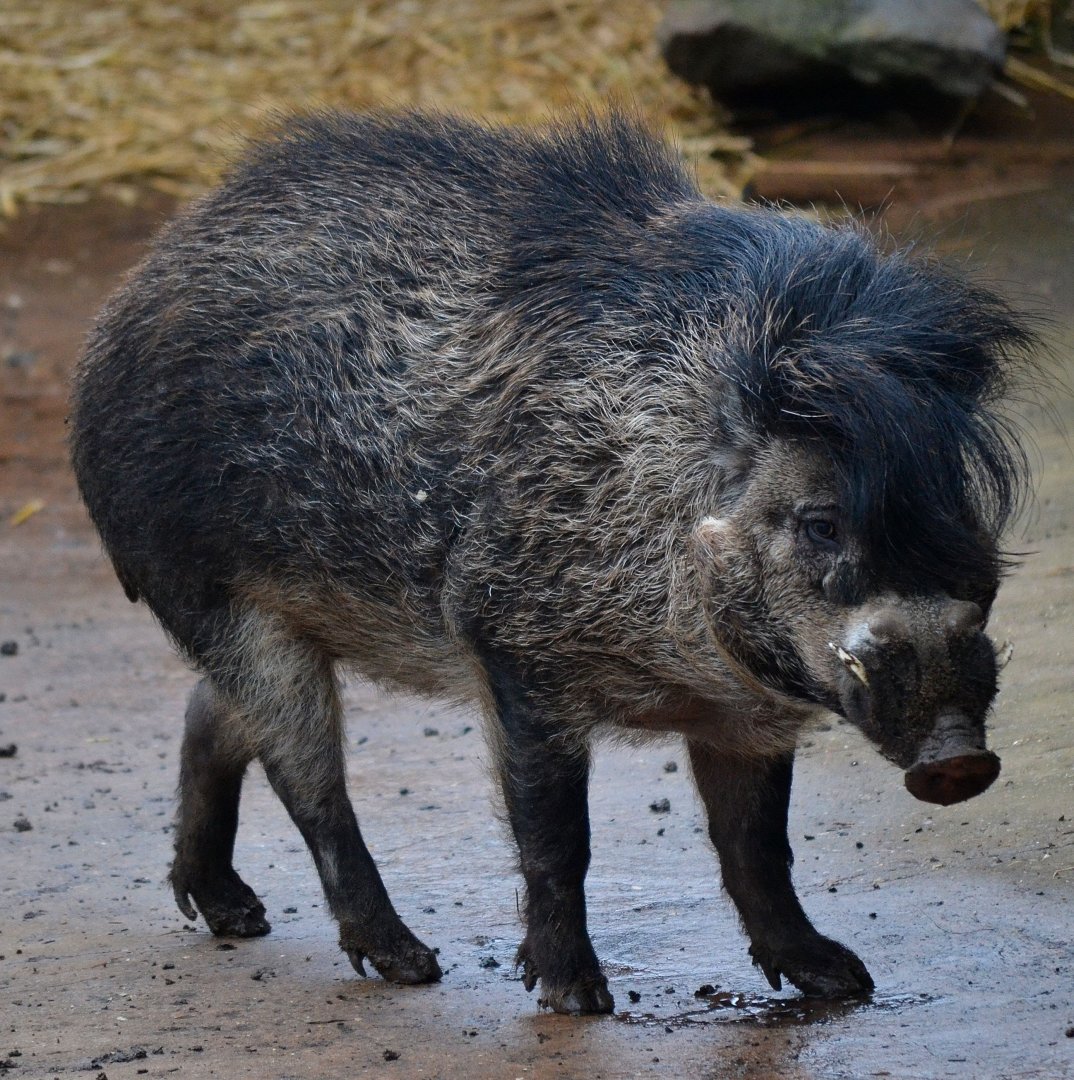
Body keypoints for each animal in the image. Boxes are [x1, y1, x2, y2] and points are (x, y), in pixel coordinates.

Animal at [69, 109, 1034, 1015]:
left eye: (952, 505)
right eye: (822, 522)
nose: (959, 758)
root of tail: (139, 290)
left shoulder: (743, 713)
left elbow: (758, 845)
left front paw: (842, 981)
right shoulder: (513, 647)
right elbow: (556, 839)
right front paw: (576, 998)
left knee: (209, 714)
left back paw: (234, 915)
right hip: (219, 595)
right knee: (307, 778)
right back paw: (409, 964)